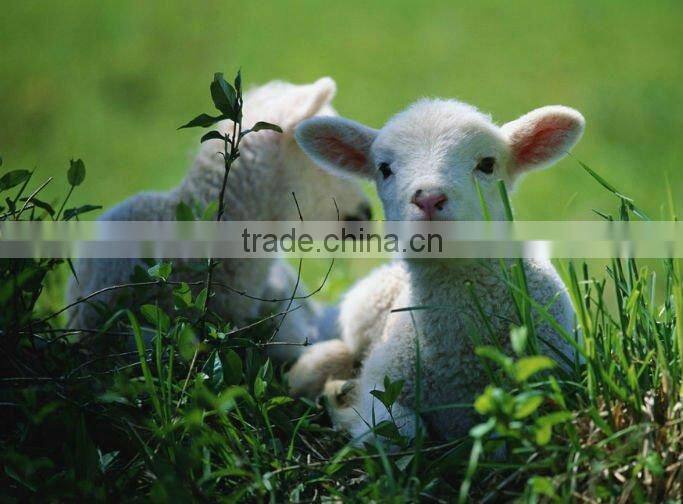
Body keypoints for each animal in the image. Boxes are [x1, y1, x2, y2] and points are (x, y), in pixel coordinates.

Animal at [290, 98, 584, 443]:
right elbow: (401, 430)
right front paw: (345, 406)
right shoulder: (381, 380)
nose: (428, 198)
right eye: (384, 168)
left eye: (487, 164)